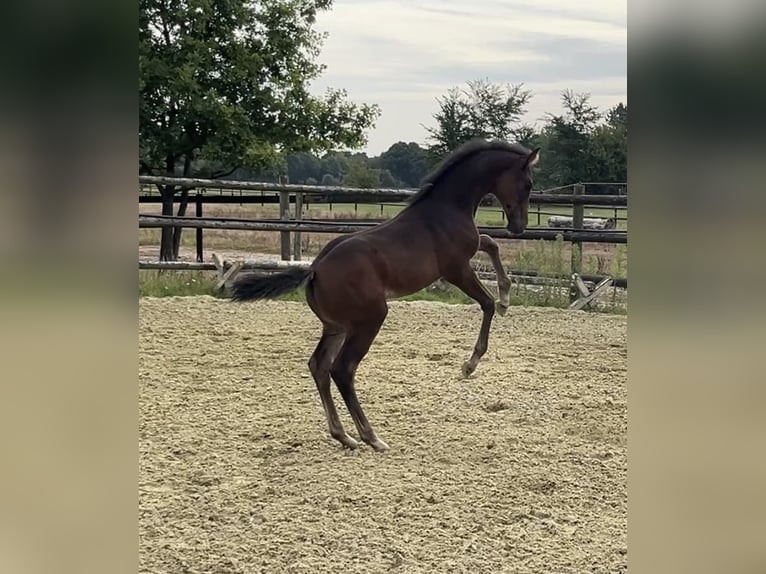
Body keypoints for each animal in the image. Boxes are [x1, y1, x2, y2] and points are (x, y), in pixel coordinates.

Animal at [229, 138, 540, 453]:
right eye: (527, 184)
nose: (519, 227)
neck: (446, 208)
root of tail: (315, 269)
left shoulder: (466, 257)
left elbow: (490, 244)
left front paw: (506, 295)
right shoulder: (456, 269)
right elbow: (487, 302)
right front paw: (471, 361)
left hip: (336, 326)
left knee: (319, 366)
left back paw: (344, 436)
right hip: (371, 318)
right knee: (342, 369)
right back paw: (372, 437)